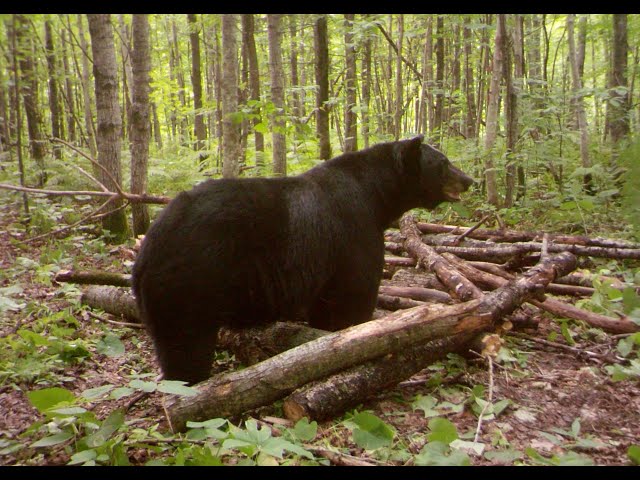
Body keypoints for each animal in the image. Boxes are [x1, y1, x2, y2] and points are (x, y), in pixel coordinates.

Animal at [131, 135, 473, 384]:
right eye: (444, 162)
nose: (469, 179)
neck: (375, 194)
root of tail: (147, 249)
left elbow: (325, 305)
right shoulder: (354, 233)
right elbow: (354, 295)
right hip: (193, 281)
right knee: (185, 348)